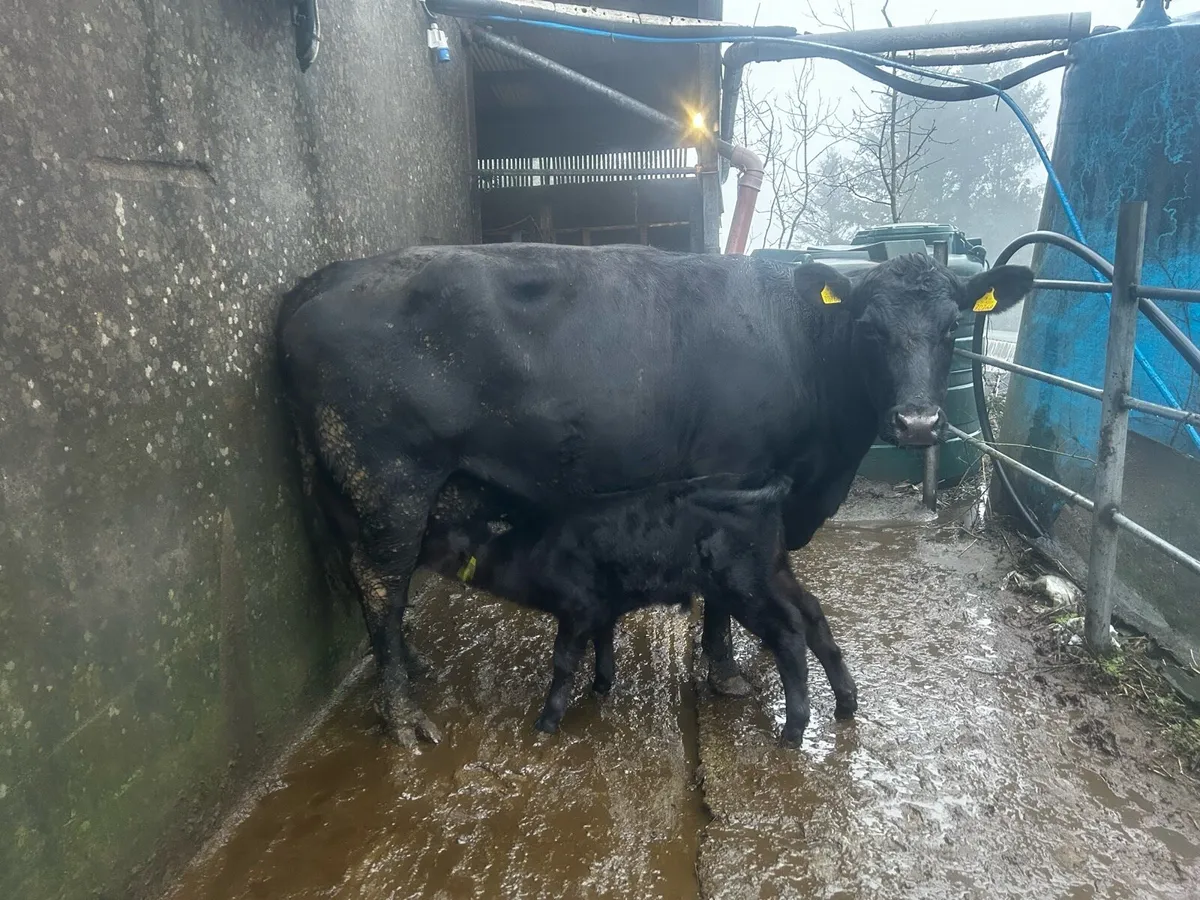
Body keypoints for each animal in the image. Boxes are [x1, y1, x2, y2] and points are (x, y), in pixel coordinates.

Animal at [417, 470, 857, 744]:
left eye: (432, 534)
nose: (408, 554)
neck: (533, 552)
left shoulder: (576, 608)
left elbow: (562, 662)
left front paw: (548, 718)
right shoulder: (601, 607)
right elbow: (604, 642)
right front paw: (601, 684)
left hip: (743, 585)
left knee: (789, 632)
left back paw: (795, 729)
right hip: (773, 571)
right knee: (813, 614)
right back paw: (846, 702)